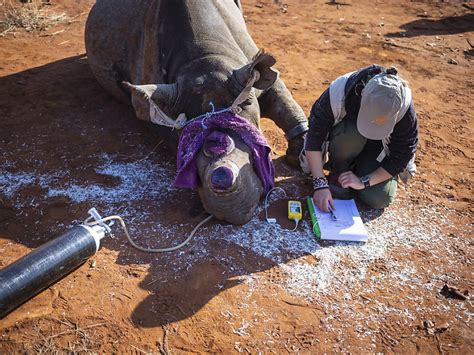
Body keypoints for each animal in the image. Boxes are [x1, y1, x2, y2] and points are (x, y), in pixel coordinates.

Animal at [84, 0, 308, 225]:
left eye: (245, 104)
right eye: (184, 126)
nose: (230, 209)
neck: (205, 55)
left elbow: (281, 98)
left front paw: (300, 156)